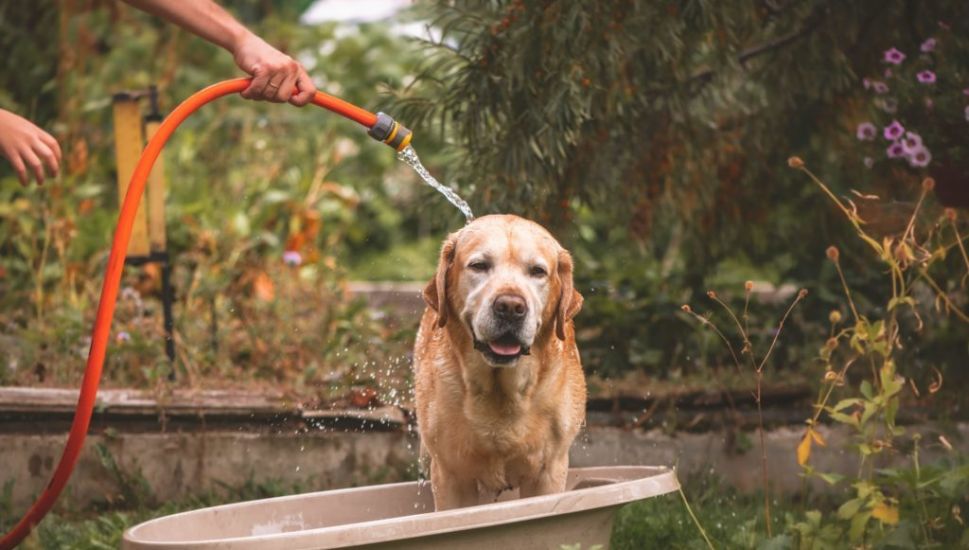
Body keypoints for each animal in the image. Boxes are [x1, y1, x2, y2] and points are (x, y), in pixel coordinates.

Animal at [414, 216, 588, 512]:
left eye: (538, 271)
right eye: (479, 265)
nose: (510, 307)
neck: (501, 390)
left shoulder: (549, 472)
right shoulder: (451, 475)